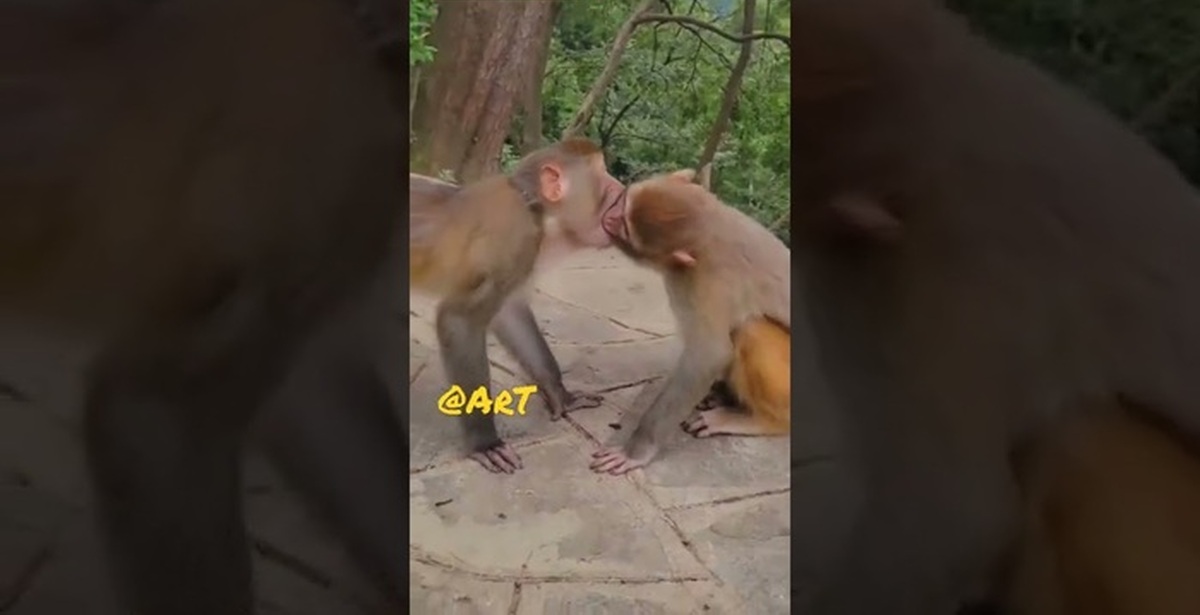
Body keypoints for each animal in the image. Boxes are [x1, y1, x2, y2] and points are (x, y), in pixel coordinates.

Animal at [409, 138, 625, 473]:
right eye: (605, 180)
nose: (622, 186)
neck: (535, 209)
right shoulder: (516, 240)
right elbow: (459, 320)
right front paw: (485, 442)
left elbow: (508, 313)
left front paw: (560, 393)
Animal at [588, 169, 790, 475]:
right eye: (623, 203)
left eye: (624, 225)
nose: (609, 217)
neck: (712, 231)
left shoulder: (708, 280)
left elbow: (709, 355)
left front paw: (636, 450)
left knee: (749, 329)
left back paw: (765, 420)